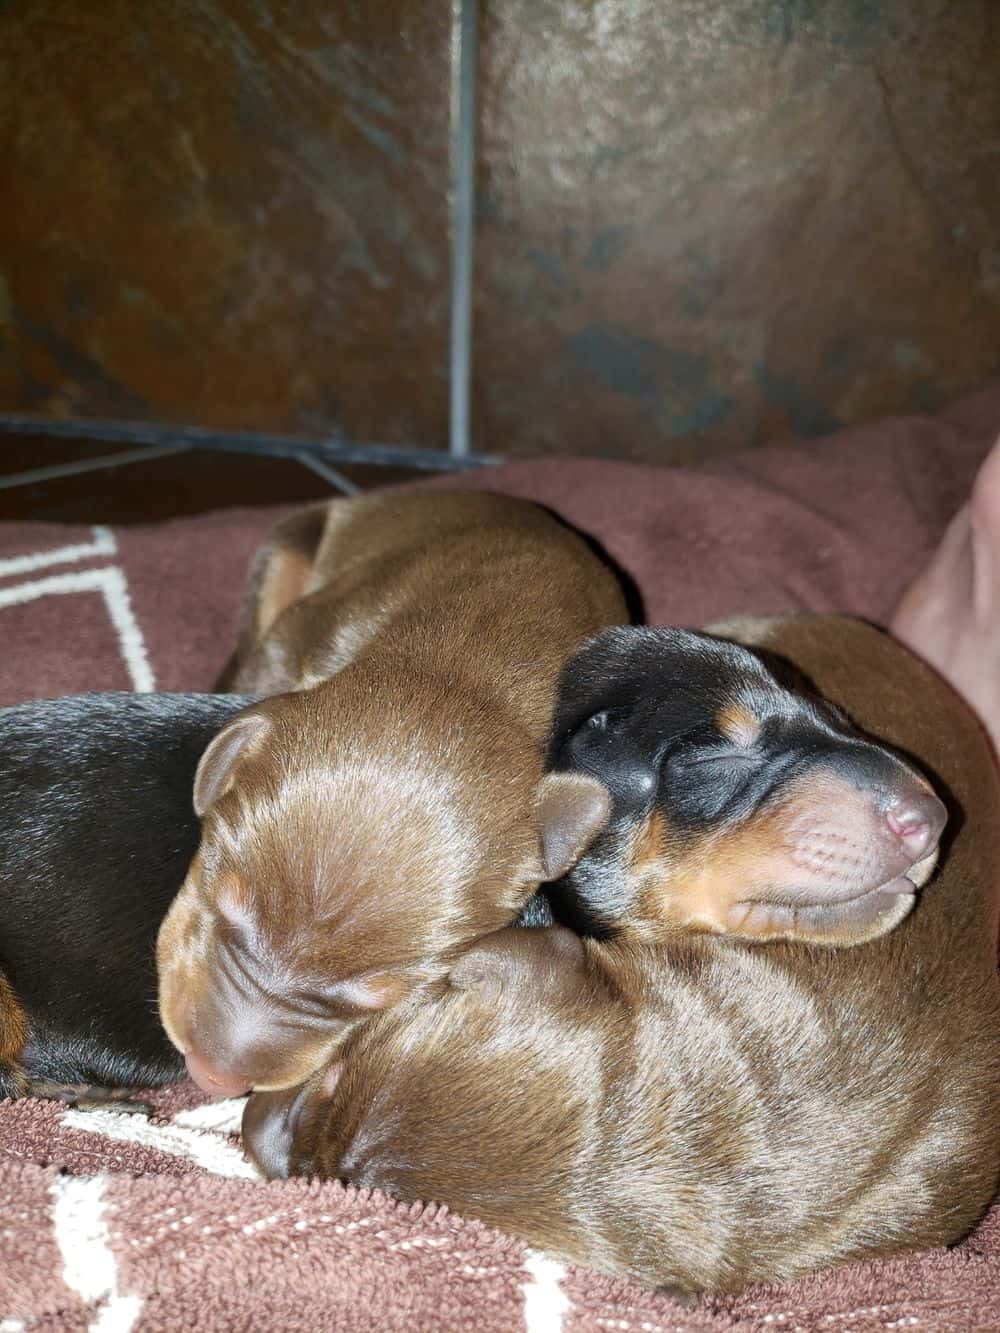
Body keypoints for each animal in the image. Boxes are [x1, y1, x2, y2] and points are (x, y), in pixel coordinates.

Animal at [156, 495, 626, 1098]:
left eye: (377, 997)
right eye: (223, 905)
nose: (211, 1077)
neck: (469, 664)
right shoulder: (305, 631)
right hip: (287, 549)